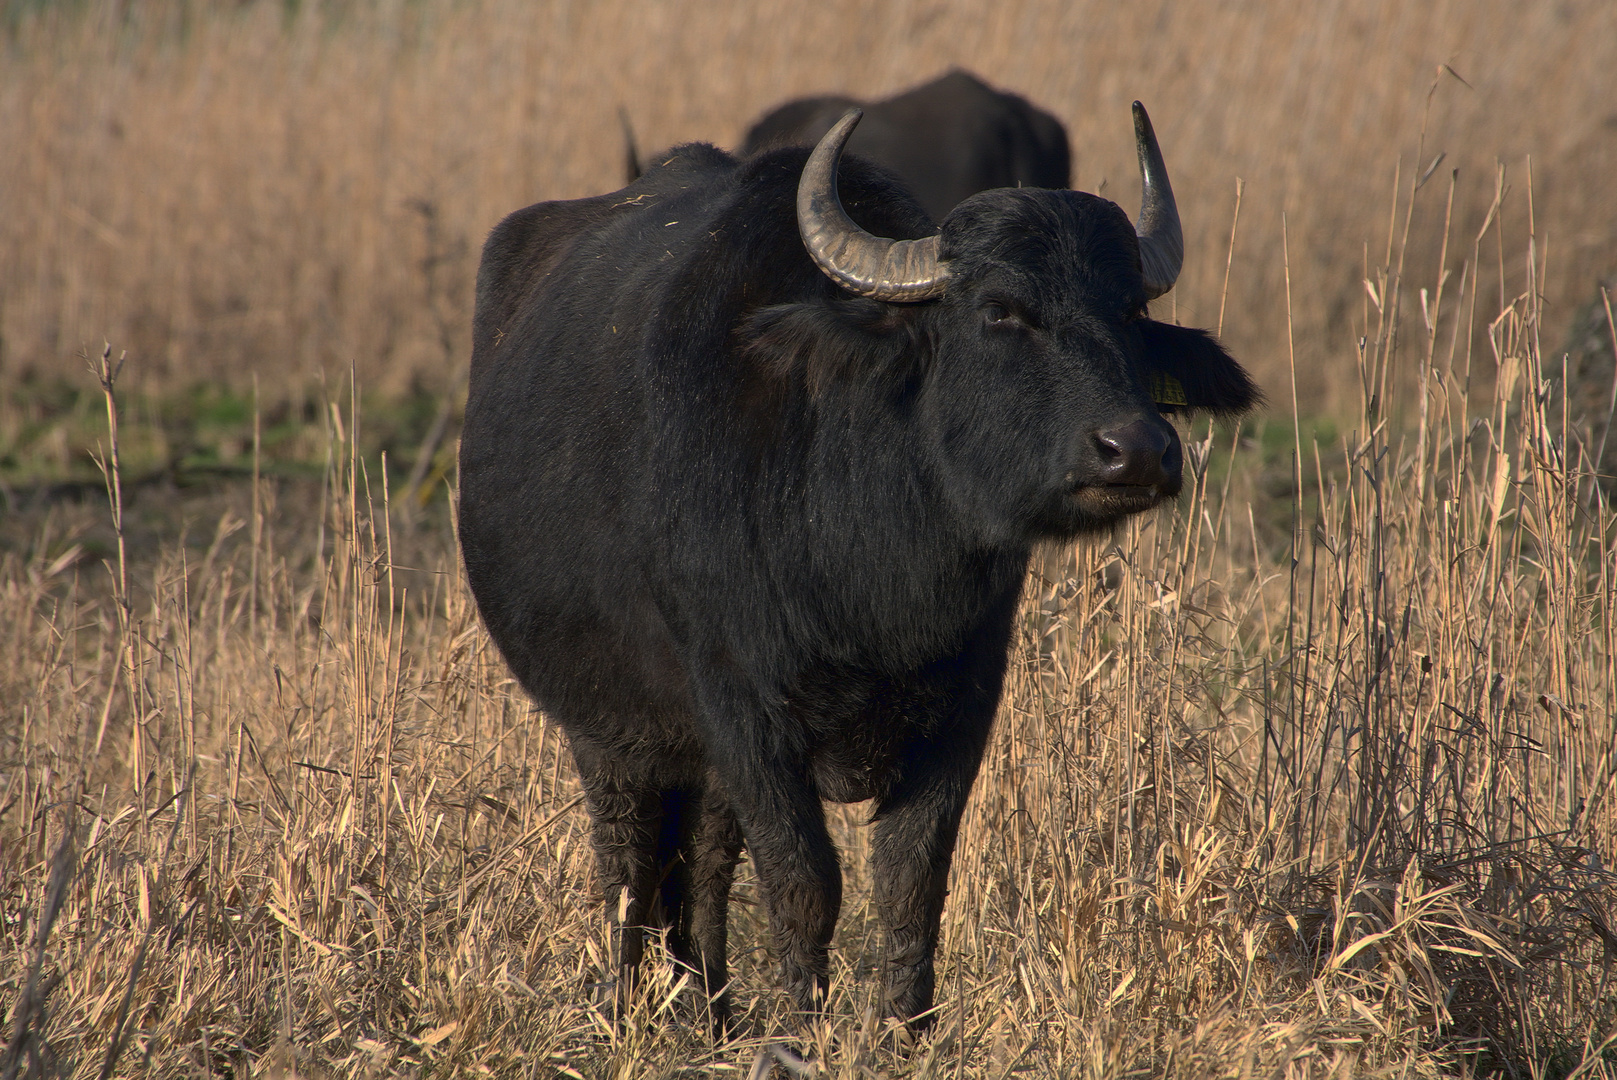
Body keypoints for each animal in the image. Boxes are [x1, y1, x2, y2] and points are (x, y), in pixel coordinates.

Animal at [459, 105, 1261, 1034]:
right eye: (999, 311)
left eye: (1129, 310)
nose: (1135, 450)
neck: (865, 576)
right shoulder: (743, 711)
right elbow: (804, 884)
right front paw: (802, 1031)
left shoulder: (963, 707)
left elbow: (910, 882)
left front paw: (903, 1032)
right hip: (604, 722)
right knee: (629, 858)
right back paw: (629, 1008)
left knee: (701, 861)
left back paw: (710, 1009)